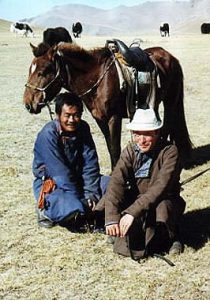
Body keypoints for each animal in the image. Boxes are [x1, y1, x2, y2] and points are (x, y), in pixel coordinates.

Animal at [22, 41, 192, 170]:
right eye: (30, 69)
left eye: (43, 71)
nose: (28, 104)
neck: (97, 79)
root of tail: (171, 57)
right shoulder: (100, 119)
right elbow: (110, 148)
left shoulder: (113, 118)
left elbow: (115, 149)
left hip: (170, 101)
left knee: (167, 126)